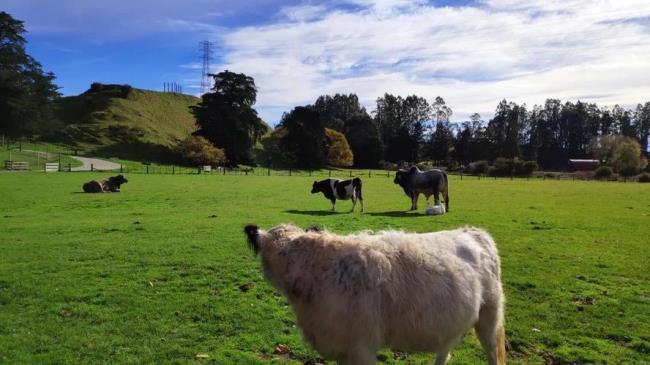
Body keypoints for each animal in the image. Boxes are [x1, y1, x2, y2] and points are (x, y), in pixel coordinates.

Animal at [243, 223, 506, 362]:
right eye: (273, 254)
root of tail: (473, 231)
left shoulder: (362, 348)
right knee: (444, 352)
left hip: (489, 315)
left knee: (492, 351)